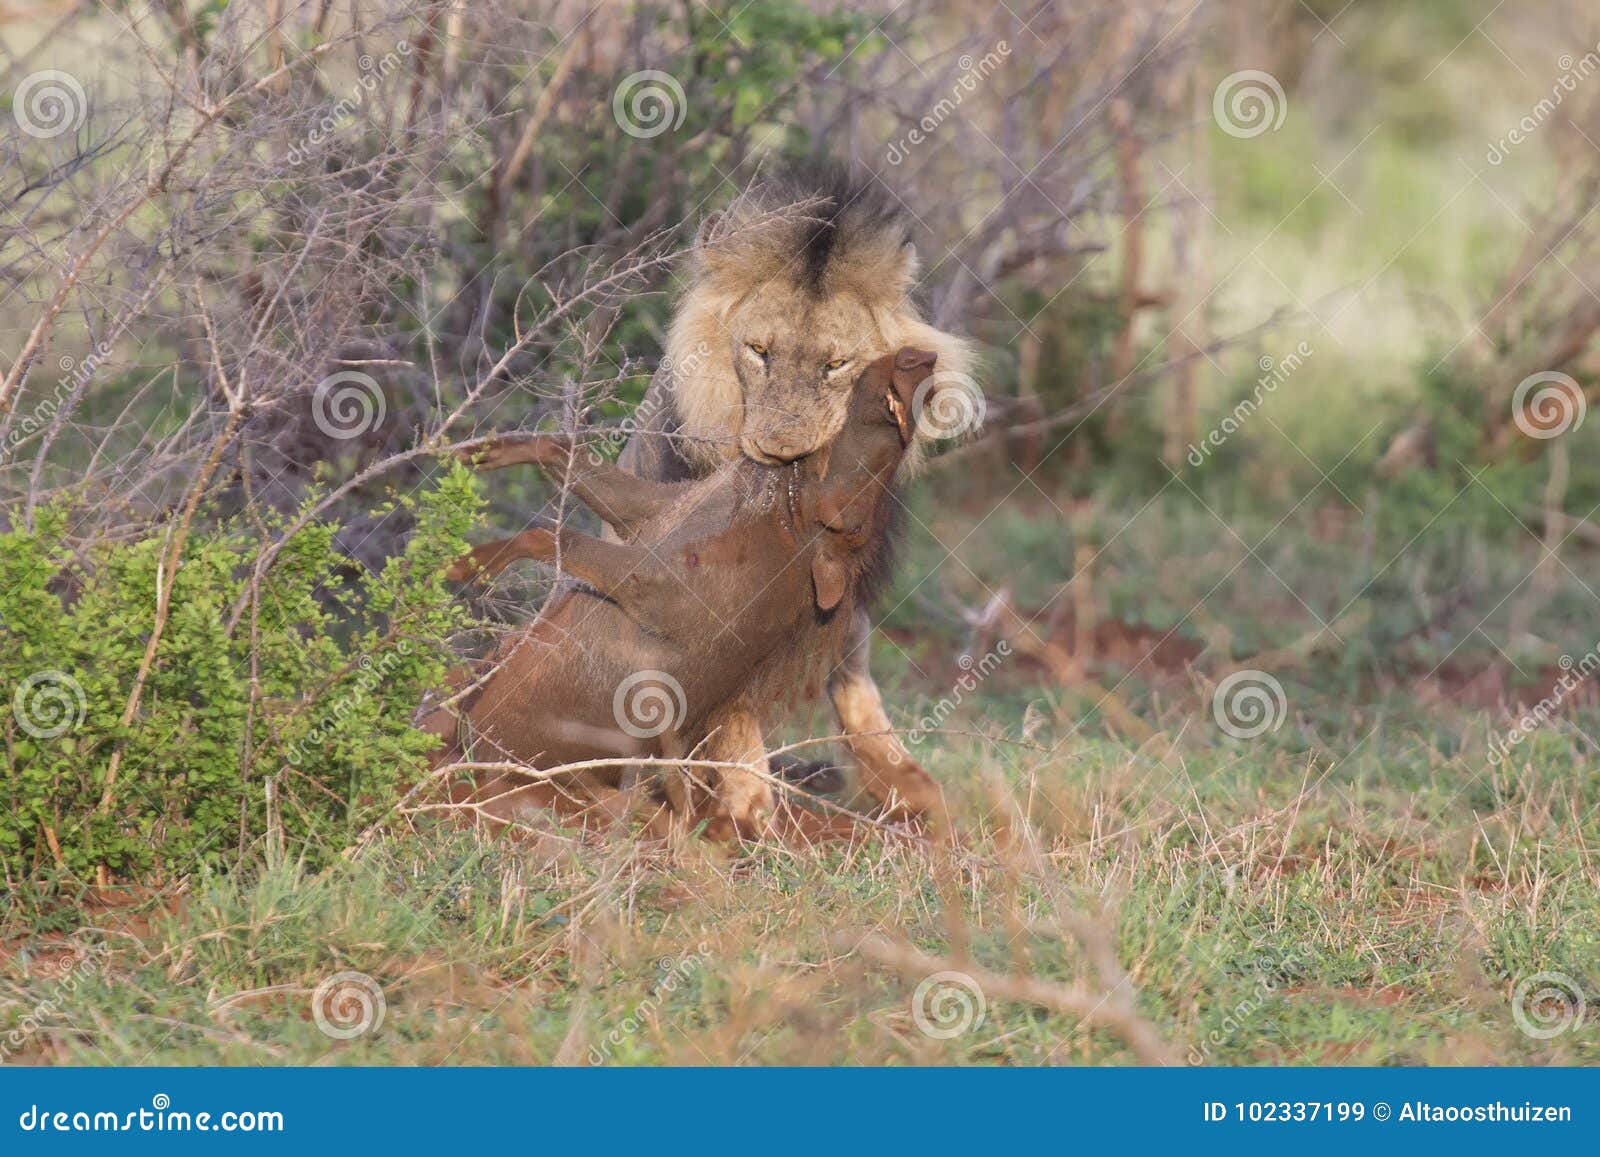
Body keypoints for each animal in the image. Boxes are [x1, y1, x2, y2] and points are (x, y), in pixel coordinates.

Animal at [425, 348, 934, 838]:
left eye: (854, 520)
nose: (921, 359)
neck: (779, 509)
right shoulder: (651, 509)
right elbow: (557, 446)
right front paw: (470, 452)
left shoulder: (648, 584)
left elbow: (552, 535)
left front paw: (462, 565)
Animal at [614, 167, 972, 832]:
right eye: (759, 352)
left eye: (836, 364)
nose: (783, 452)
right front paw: (748, 800)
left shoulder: (844, 585)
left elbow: (856, 679)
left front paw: (909, 788)